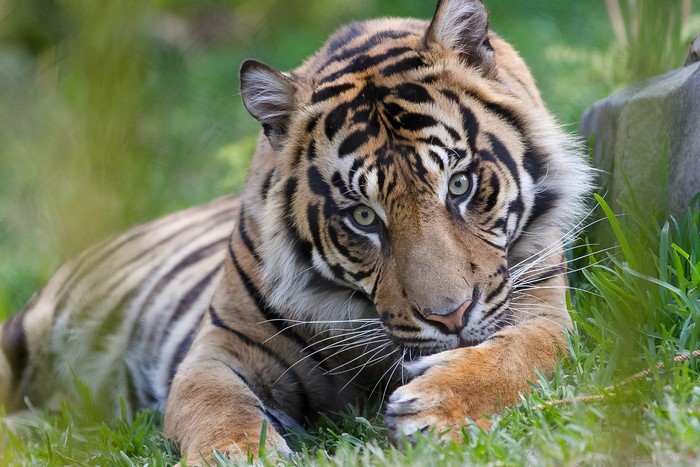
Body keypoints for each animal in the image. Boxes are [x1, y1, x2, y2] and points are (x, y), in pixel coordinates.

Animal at [0, 0, 593, 461]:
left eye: (461, 184)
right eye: (363, 216)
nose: (450, 318)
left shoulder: (540, 309)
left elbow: (517, 356)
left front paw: (435, 410)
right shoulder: (218, 347)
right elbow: (214, 406)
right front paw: (234, 455)